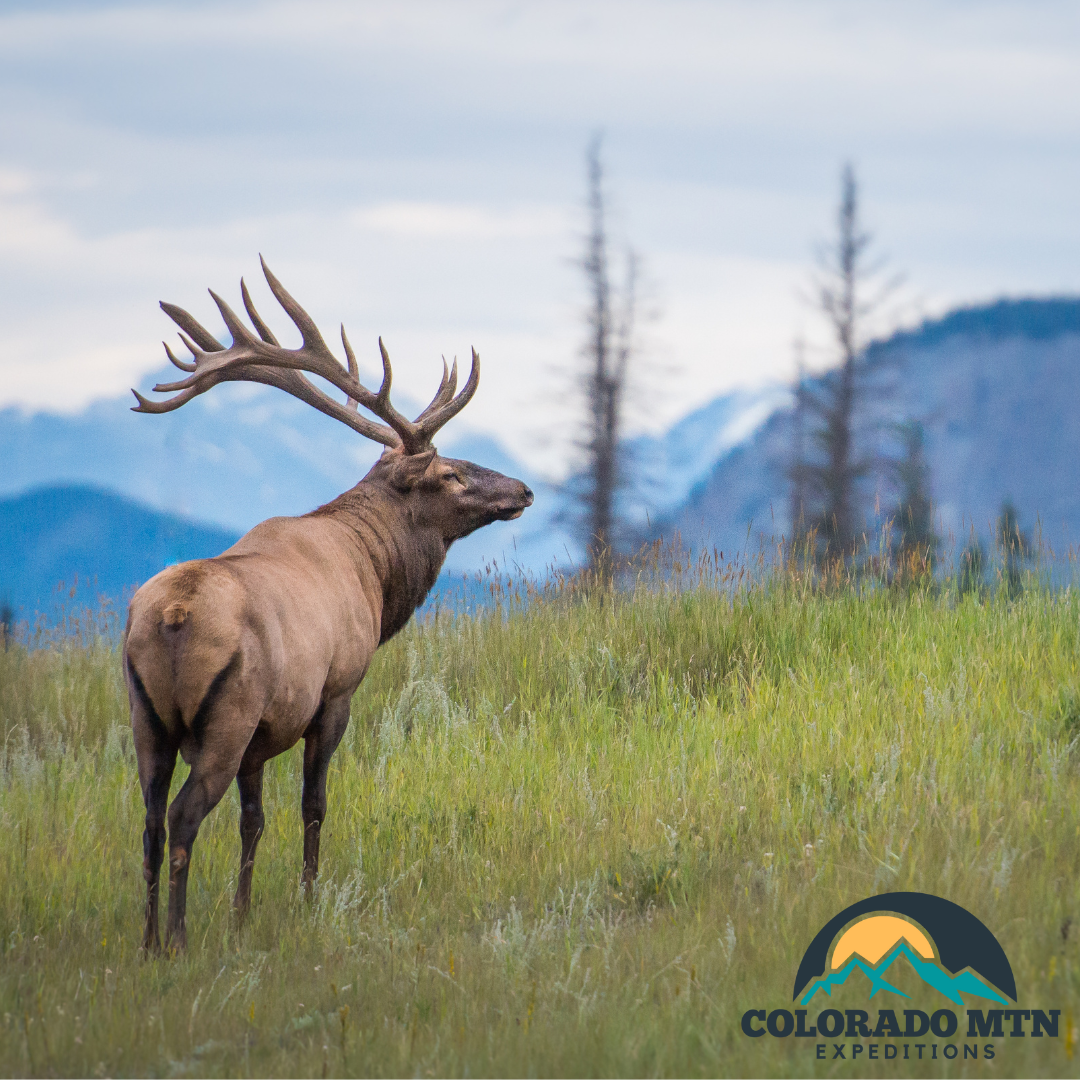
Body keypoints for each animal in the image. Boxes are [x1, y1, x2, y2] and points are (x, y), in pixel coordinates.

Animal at [123, 258, 533, 954]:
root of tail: (172, 616)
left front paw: (241, 914)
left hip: (146, 718)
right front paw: (309, 901)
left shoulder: (262, 737)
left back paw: (148, 941)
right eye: (449, 473)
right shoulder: (335, 692)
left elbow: (254, 820)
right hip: (225, 715)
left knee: (149, 821)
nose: (524, 489)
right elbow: (313, 806)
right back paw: (175, 940)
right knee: (181, 817)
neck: (373, 575)